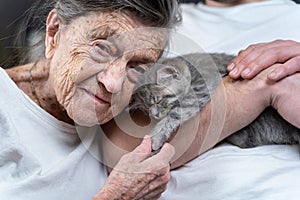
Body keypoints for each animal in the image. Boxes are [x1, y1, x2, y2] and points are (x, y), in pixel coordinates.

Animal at [131, 52, 300, 151]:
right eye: (146, 109)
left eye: (158, 101)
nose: (154, 115)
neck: (190, 68)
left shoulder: (198, 91)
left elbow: (173, 115)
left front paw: (155, 136)